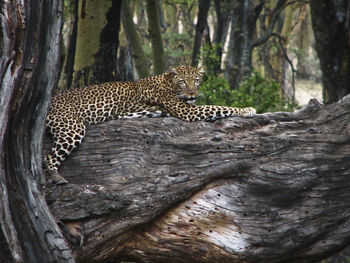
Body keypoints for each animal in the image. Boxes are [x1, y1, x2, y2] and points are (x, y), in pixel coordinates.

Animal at [45, 65, 256, 185]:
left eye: (196, 80)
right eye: (183, 81)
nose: (191, 93)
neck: (169, 81)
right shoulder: (188, 111)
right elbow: (218, 106)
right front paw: (247, 109)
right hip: (73, 127)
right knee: (48, 158)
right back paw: (57, 179)